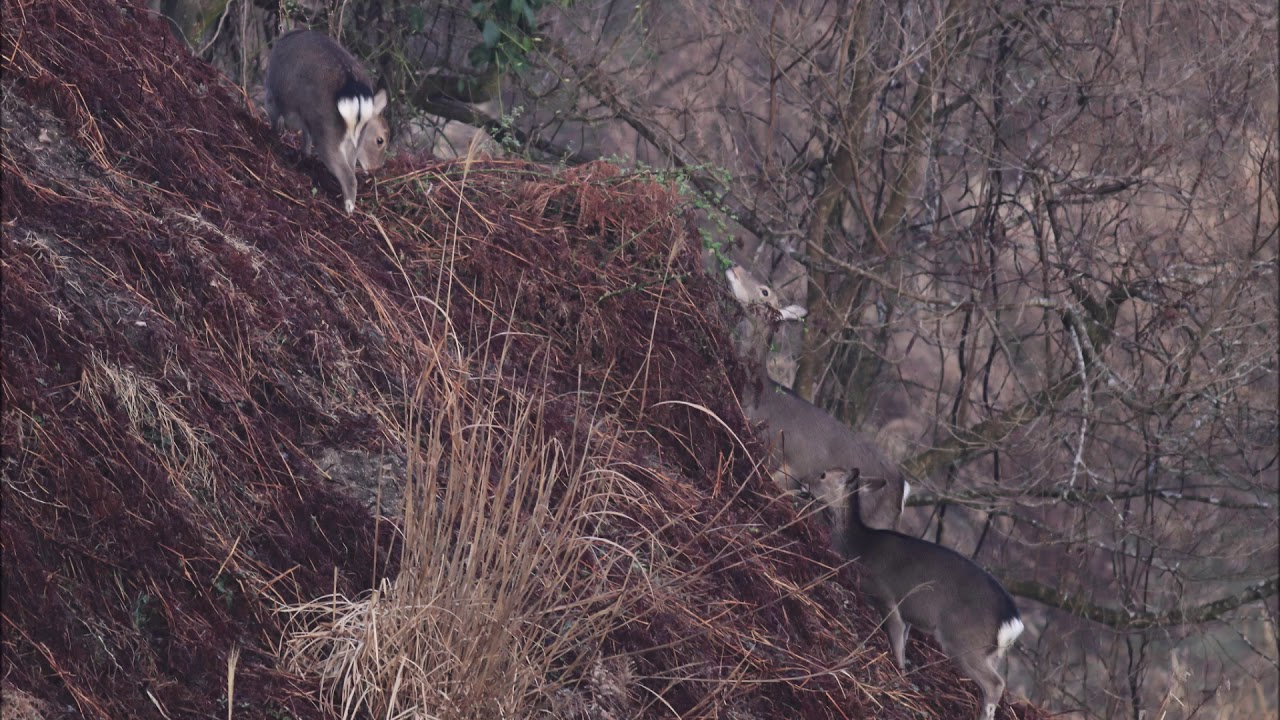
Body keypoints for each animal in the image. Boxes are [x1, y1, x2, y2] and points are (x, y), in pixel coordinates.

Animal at [265, 30, 390, 214]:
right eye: (380, 140)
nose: (376, 169)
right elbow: (305, 138)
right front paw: (303, 156)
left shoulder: (273, 95)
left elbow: (276, 121)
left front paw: (274, 137)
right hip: (351, 142)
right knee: (351, 168)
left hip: (327, 130)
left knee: (348, 176)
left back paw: (348, 208)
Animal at [724, 264, 909, 530]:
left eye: (765, 291)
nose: (735, 267)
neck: (758, 396)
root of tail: (903, 491)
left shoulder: (783, 461)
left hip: (876, 519)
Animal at [805, 468, 1024, 720]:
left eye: (823, 475)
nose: (804, 483)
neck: (859, 547)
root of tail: (1012, 621)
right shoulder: (909, 615)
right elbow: (904, 642)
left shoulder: (888, 598)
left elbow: (897, 646)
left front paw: (898, 677)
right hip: (991, 653)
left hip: (963, 638)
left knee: (994, 684)